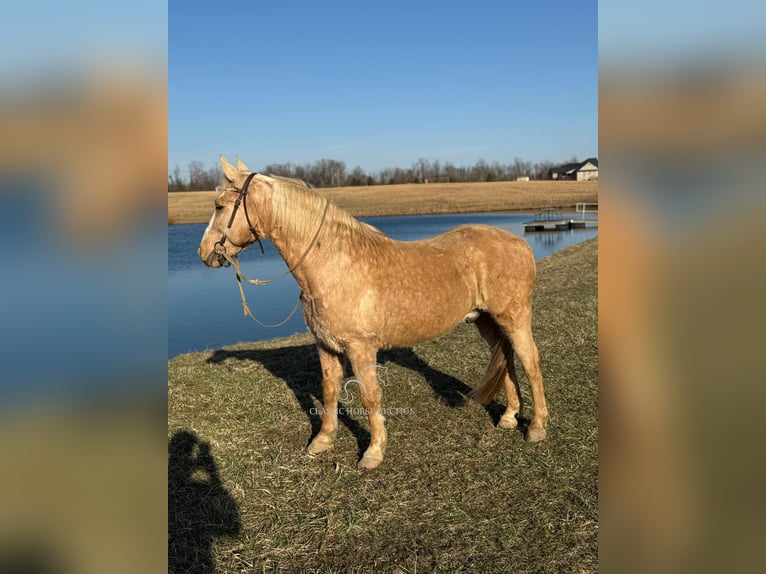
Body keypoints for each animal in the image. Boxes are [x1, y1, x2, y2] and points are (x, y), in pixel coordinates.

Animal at [195, 155, 548, 470]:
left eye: (219, 206)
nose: (204, 253)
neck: (335, 264)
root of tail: (520, 243)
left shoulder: (360, 347)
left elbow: (369, 396)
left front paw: (373, 452)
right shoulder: (326, 346)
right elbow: (329, 392)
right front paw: (322, 442)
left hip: (515, 318)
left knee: (530, 361)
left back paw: (536, 426)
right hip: (488, 321)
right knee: (507, 359)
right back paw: (508, 417)